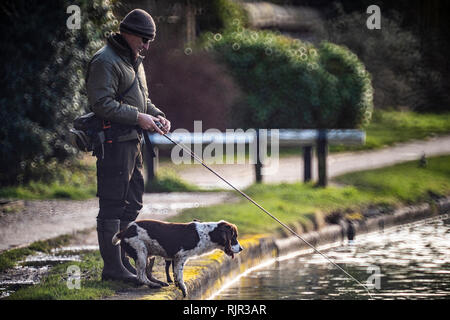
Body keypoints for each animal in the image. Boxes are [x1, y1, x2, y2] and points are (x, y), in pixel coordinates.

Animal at [112, 219, 243, 296]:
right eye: (234, 237)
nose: (241, 248)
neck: (207, 234)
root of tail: (124, 231)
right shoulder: (180, 256)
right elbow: (179, 276)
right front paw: (183, 289)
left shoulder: (175, 258)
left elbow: (175, 275)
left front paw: (176, 285)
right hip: (141, 252)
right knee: (140, 276)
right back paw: (153, 285)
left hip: (149, 255)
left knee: (147, 273)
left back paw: (159, 282)